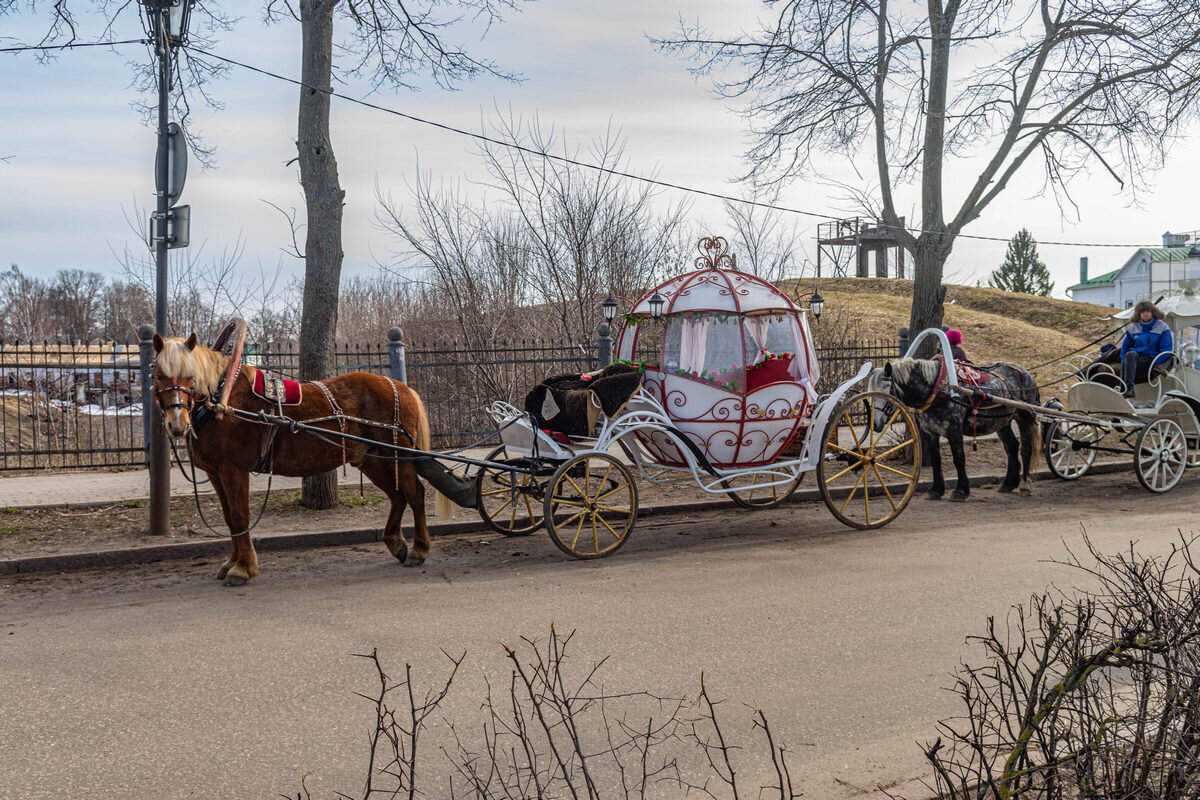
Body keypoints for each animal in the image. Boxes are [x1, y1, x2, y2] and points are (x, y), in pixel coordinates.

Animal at [149, 333, 432, 587]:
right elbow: (229, 518)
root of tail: (402, 386)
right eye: (158, 375)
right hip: (372, 459)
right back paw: (395, 542)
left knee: (414, 493)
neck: (221, 400)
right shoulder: (215, 472)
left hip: (397, 455)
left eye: (190, 377)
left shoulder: (233, 469)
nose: (177, 424)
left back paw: (419, 549)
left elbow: (240, 516)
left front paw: (243, 568)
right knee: (398, 495)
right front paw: (231, 563)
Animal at [873, 359, 1041, 503]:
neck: (938, 389)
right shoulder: (930, 433)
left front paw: (961, 491)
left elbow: (959, 459)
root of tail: (1025, 373)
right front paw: (936, 490)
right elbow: (936, 460)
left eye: (886, 389)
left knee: (1026, 449)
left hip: (1024, 416)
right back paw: (1009, 483)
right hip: (1001, 422)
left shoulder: (954, 430)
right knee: (1011, 447)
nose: (875, 423)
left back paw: (1025, 485)